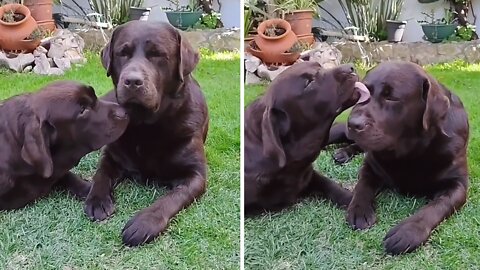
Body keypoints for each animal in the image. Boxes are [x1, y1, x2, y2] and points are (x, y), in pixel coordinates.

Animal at [84, 20, 208, 246]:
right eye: (122, 53)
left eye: (157, 54)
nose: (132, 81)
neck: (146, 126)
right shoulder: (111, 156)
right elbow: (100, 174)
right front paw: (97, 200)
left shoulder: (196, 175)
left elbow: (172, 198)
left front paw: (145, 222)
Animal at [246, 61, 370, 215]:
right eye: (308, 83)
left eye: (319, 65)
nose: (351, 67)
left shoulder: (310, 174)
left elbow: (330, 185)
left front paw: (354, 202)